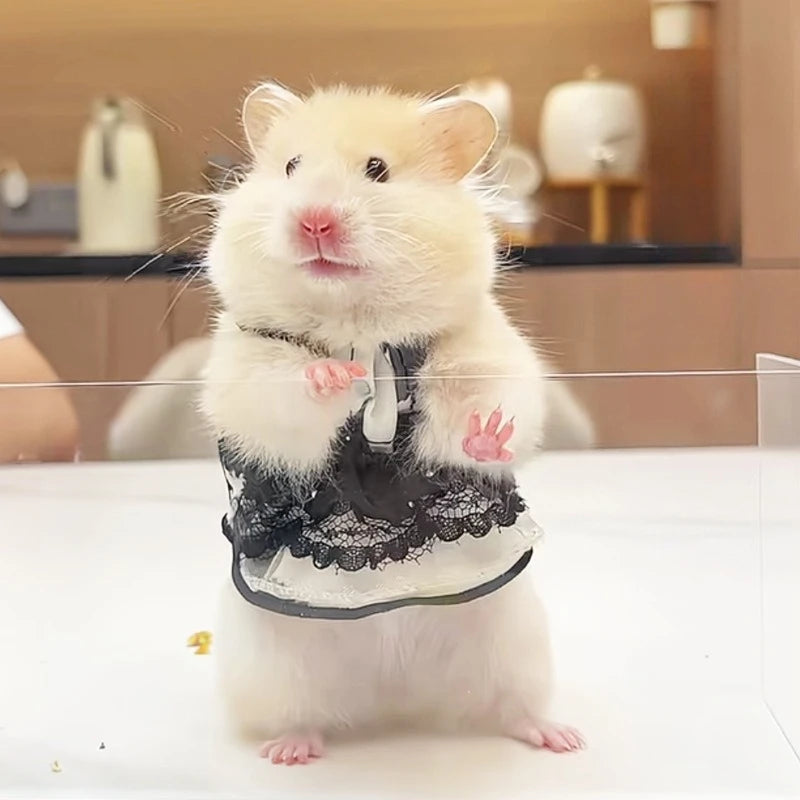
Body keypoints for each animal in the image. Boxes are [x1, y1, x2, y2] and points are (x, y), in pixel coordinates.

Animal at [202, 82, 584, 765]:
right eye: (291, 167)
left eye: (377, 170)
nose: (314, 220)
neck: (360, 325)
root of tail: (394, 697)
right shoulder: (247, 367)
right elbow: (285, 393)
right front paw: (333, 377)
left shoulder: (478, 345)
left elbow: (493, 404)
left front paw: (487, 431)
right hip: (270, 667)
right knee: (298, 715)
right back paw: (290, 751)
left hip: (517, 643)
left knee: (511, 707)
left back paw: (559, 738)